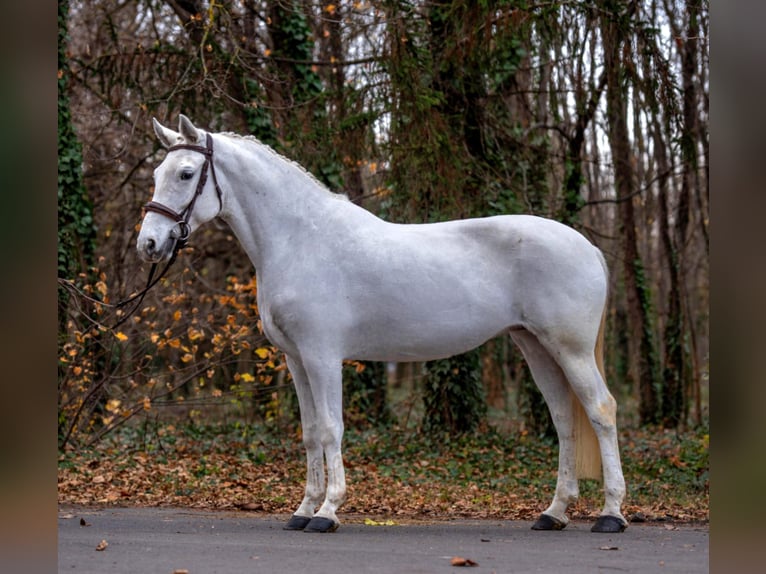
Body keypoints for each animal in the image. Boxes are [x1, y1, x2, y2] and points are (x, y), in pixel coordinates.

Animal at [137, 115, 628, 534]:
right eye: (158, 171)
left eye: (185, 174)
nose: (149, 244)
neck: (301, 240)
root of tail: (587, 246)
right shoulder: (296, 360)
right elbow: (310, 433)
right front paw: (302, 510)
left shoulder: (322, 356)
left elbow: (331, 428)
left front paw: (328, 512)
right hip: (535, 346)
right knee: (564, 418)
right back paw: (554, 513)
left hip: (571, 349)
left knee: (601, 411)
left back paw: (611, 514)